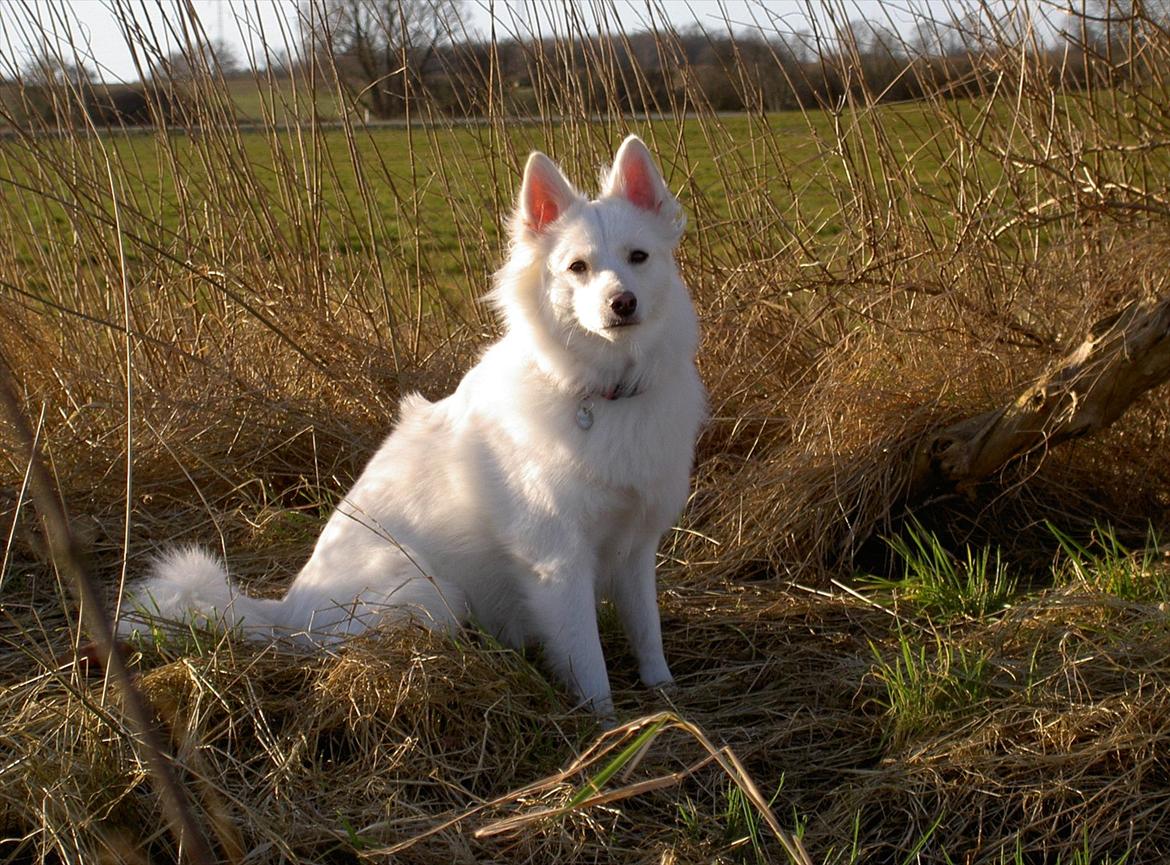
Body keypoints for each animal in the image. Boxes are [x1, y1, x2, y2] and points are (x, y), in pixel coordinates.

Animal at [121, 136, 702, 716]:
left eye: (638, 257)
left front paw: (664, 692)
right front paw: (607, 725)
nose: (621, 303)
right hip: (435, 597)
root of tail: (290, 615)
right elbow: (589, 661)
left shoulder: (635, 548)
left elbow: (647, 630)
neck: (600, 388)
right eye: (577, 267)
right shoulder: (558, 563)